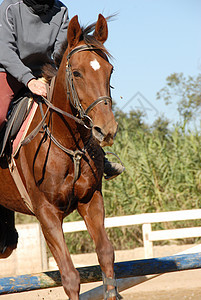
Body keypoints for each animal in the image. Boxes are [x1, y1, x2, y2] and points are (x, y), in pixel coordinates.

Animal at [0, 12, 121, 298]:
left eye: (110, 70)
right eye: (76, 73)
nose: (107, 130)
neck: (68, 144)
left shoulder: (91, 200)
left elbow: (106, 254)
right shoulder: (47, 213)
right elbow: (69, 275)